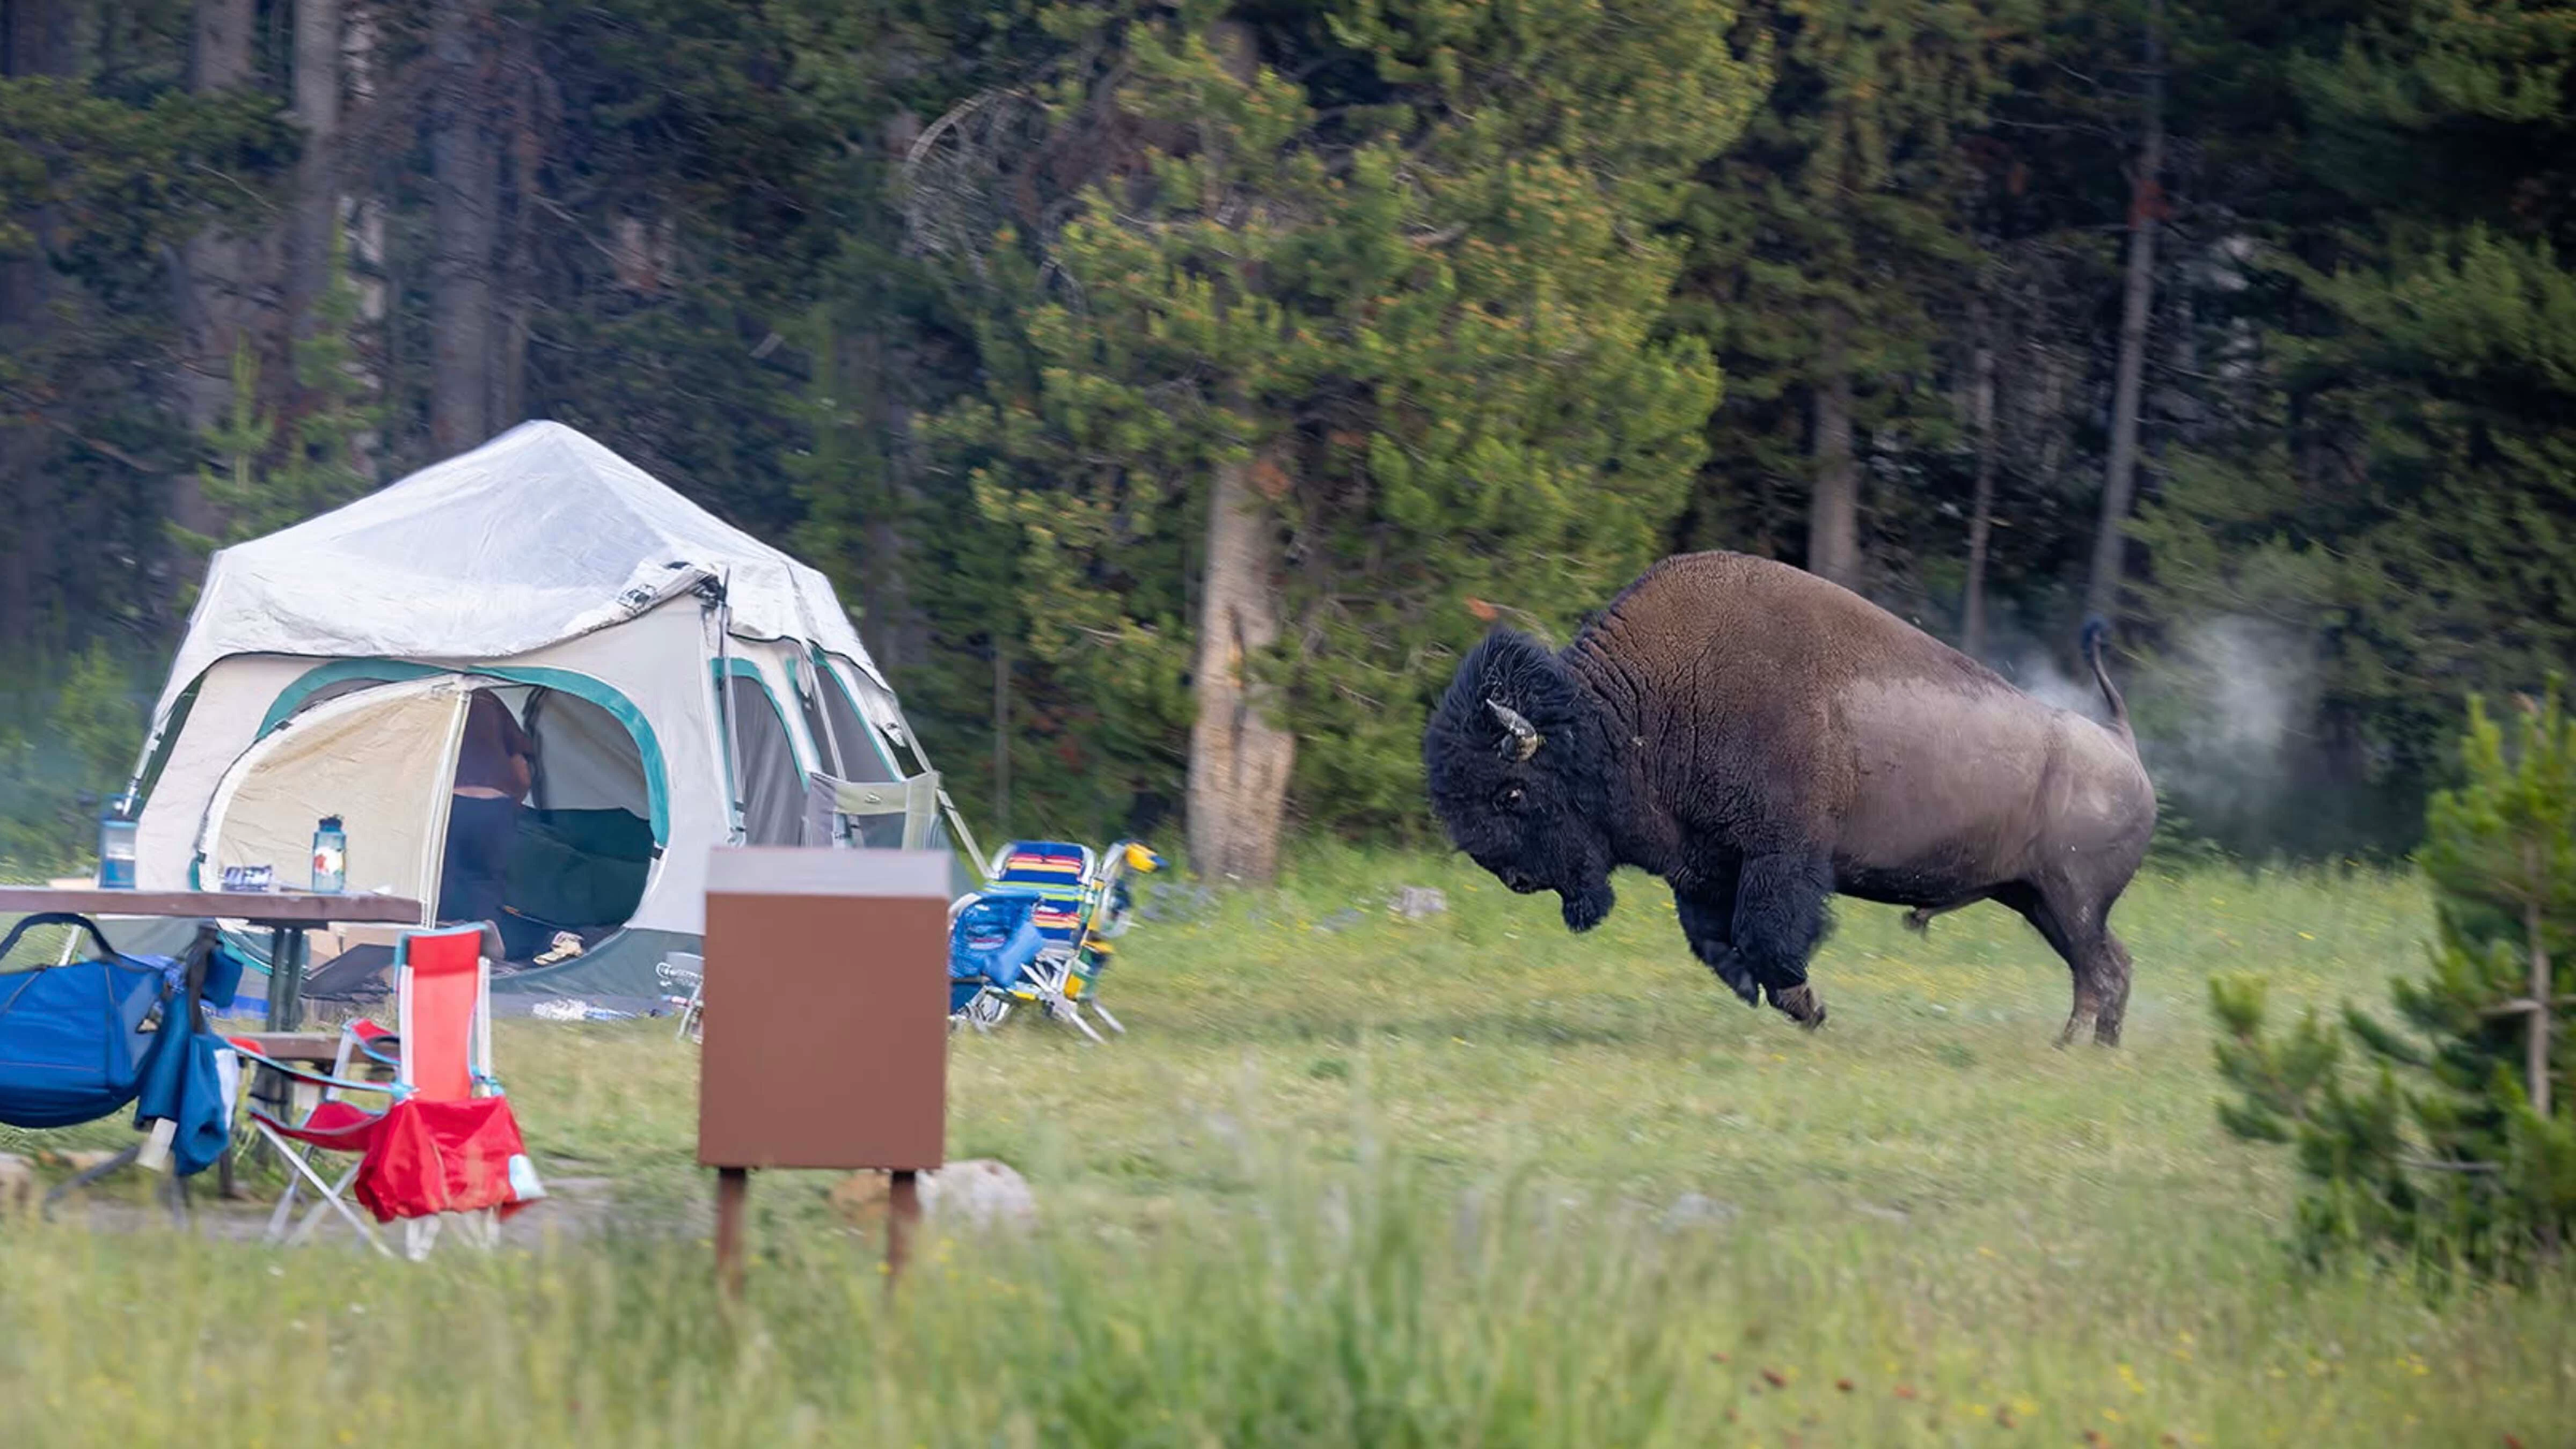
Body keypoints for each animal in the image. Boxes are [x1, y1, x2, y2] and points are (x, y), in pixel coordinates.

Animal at [1423, 551, 2156, 1046]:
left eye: (1512, 791)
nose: (1515, 877)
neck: (1623, 715)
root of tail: (2125, 748)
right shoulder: (1705, 869)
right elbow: (1717, 941)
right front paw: (1761, 993)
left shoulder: (1779, 856)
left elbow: (1767, 933)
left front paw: (1809, 1007)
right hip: (2037, 899)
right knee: (2108, 963)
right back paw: (2092, 1047)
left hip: (2069, 899)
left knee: (2098, 968)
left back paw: (2075, 1046)